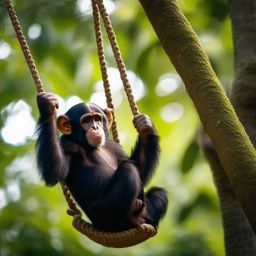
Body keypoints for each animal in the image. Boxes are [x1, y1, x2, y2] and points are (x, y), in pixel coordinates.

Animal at [36, 91, 168, 232]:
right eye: (86, 121)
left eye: (97, 118)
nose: (95, 127)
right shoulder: (67, 144)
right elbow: (55, 169)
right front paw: (47, 107)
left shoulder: (114, 146)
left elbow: (140, 169)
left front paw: (146, 127)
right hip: (103, 214)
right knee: (129, 170)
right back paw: (131, 218)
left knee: (158, 193)